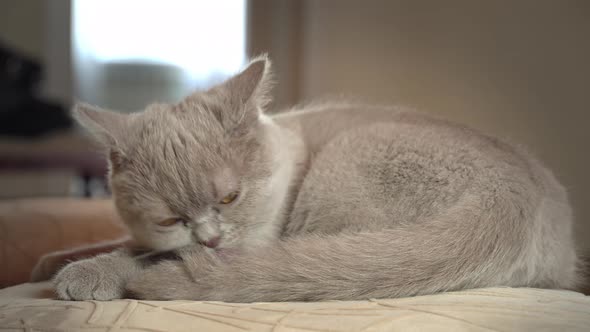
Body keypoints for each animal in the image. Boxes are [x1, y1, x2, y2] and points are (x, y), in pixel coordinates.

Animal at [54, 56, 584, 300]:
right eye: (168, 219)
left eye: (229, 197)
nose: (208, 240)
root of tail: (514, 194)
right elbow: (115, 244)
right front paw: (54, 262)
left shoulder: (257, 239)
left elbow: (145, 257)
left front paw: (86, 274)